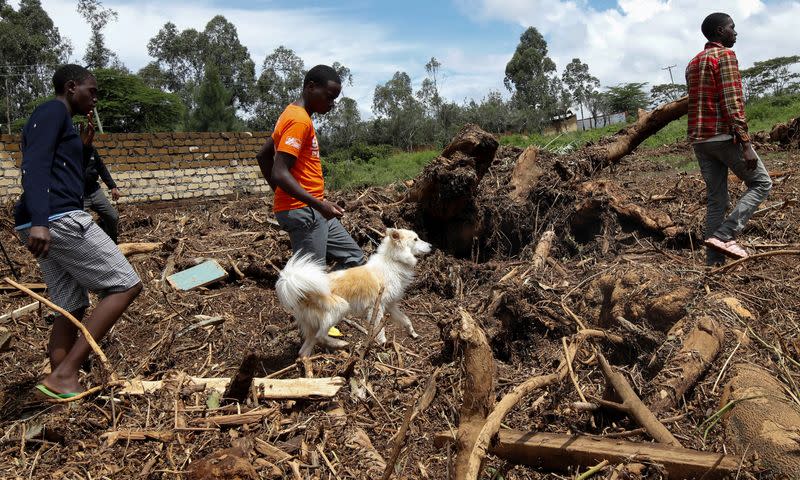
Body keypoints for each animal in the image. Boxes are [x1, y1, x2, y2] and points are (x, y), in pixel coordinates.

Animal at [276, 228, 432, 356]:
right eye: (416, 239)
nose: (431, 245)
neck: (393, 260)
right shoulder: (377, 307)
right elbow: (379, 328)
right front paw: (382, 343)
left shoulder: (390, 306)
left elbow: (406, 320)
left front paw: (413, 333)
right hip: (341, 308)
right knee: (321, 336)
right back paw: (340, 343)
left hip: (312, 327)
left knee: (305, 349)